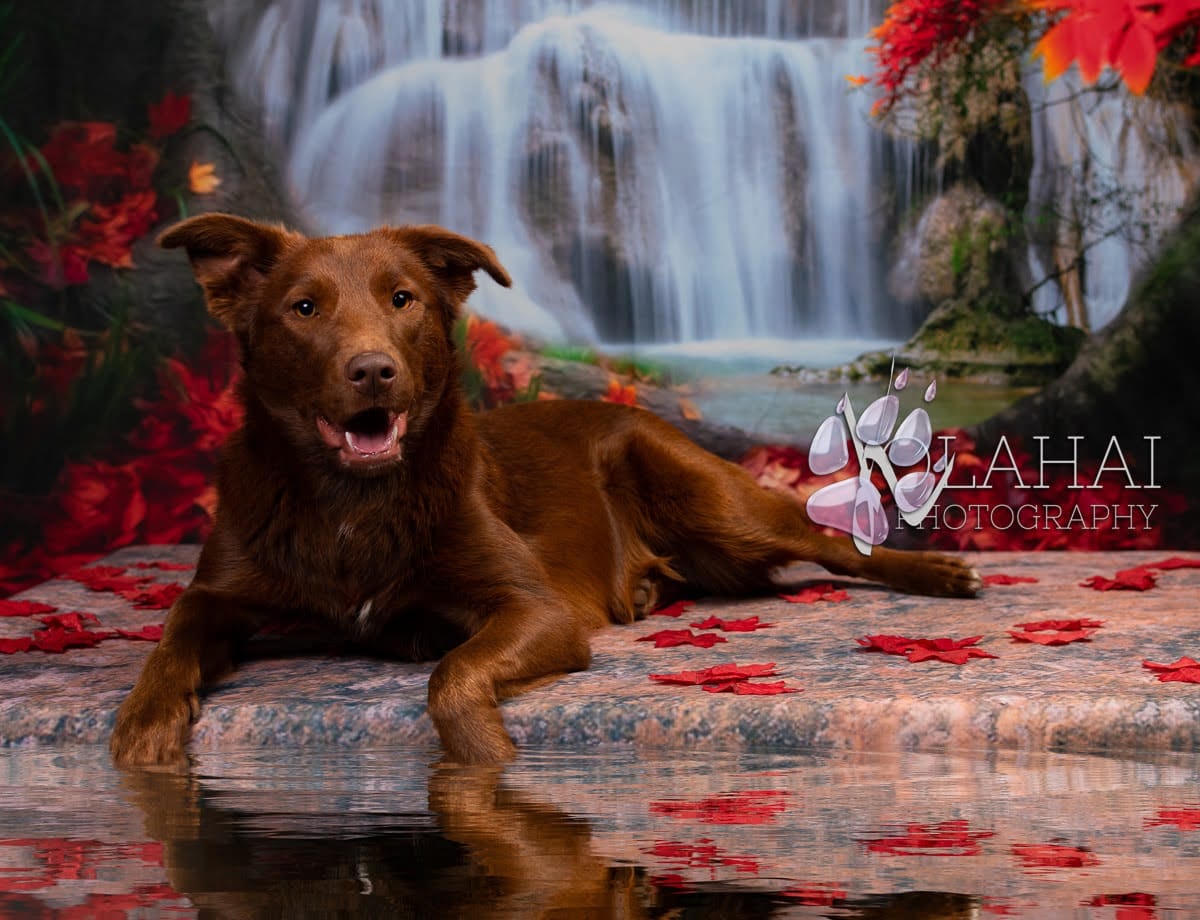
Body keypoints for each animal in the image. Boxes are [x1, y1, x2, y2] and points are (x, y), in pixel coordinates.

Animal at [108, 212, 979, 767]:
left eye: (402, 299)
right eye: (303, 308)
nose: (374, 370)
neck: (352, 500)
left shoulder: (538, 609)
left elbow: (454, 678)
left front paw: (483, 756)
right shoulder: (220, 589)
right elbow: (175, 634)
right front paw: (145, 726)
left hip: (716, 502)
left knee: (832, 542)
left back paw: (938, 572)